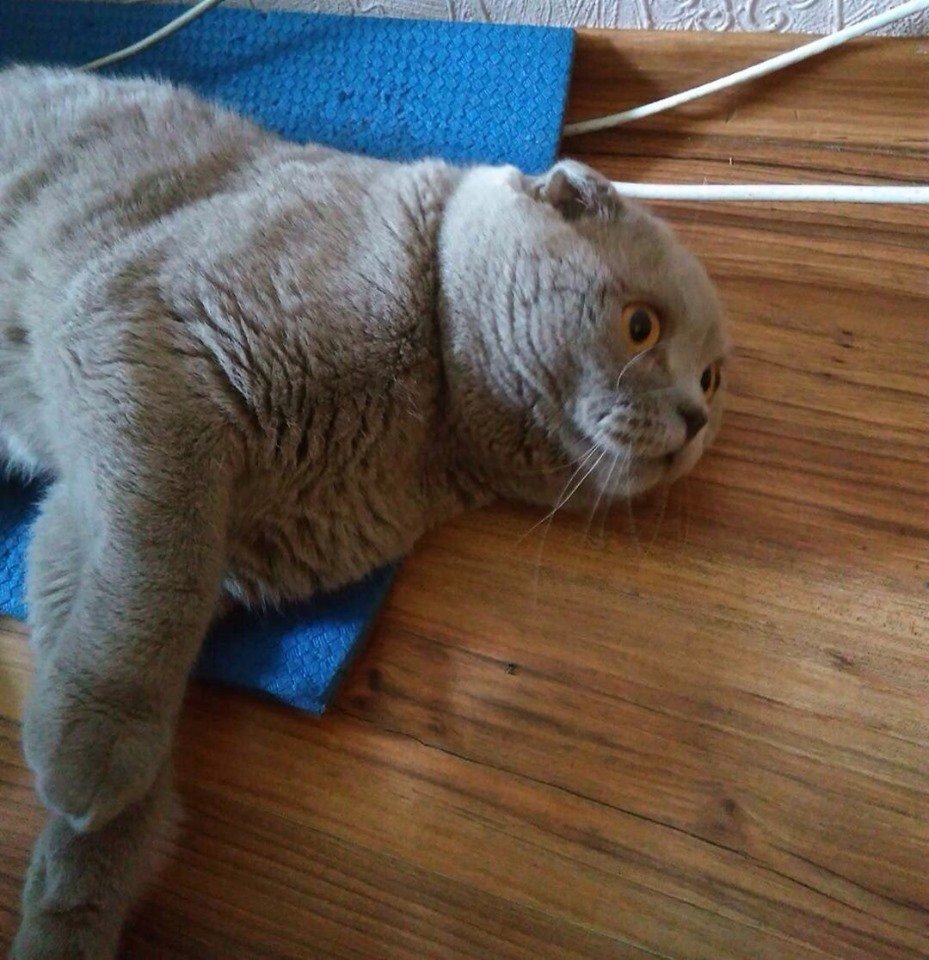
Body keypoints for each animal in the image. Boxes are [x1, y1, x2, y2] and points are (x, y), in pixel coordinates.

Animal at [0, 65, 729, 959]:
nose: (696, 419)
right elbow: (154, 579)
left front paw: (72, 902)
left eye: (712, 378)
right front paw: (93, 756)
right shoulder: (142, 349)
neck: (425, 427)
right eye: (640, 326)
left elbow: (107, 617)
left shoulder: (125, 524)